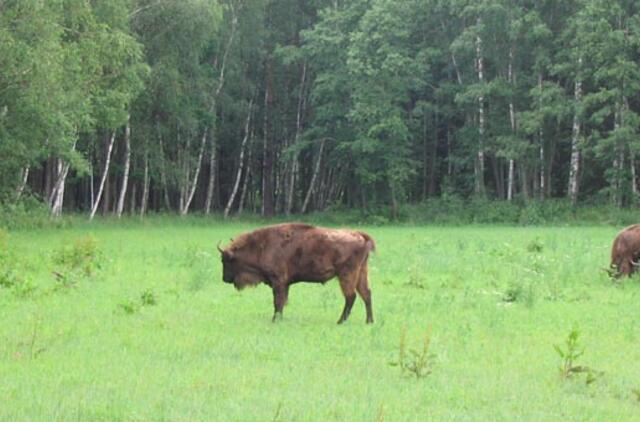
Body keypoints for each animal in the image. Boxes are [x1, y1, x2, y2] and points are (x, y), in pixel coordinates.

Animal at [219, 223, 376, 324]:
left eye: (226, 261)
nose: (225, 279)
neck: (261, 245)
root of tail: (358, 235)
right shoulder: (284, 284)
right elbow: (282, 301)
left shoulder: (278, 281)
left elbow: (278, 301)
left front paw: (275, 320)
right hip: (362, 272)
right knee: (366, 294)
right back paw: (369, 321)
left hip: (346, 274)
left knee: (351, 296)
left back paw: (340, 321)